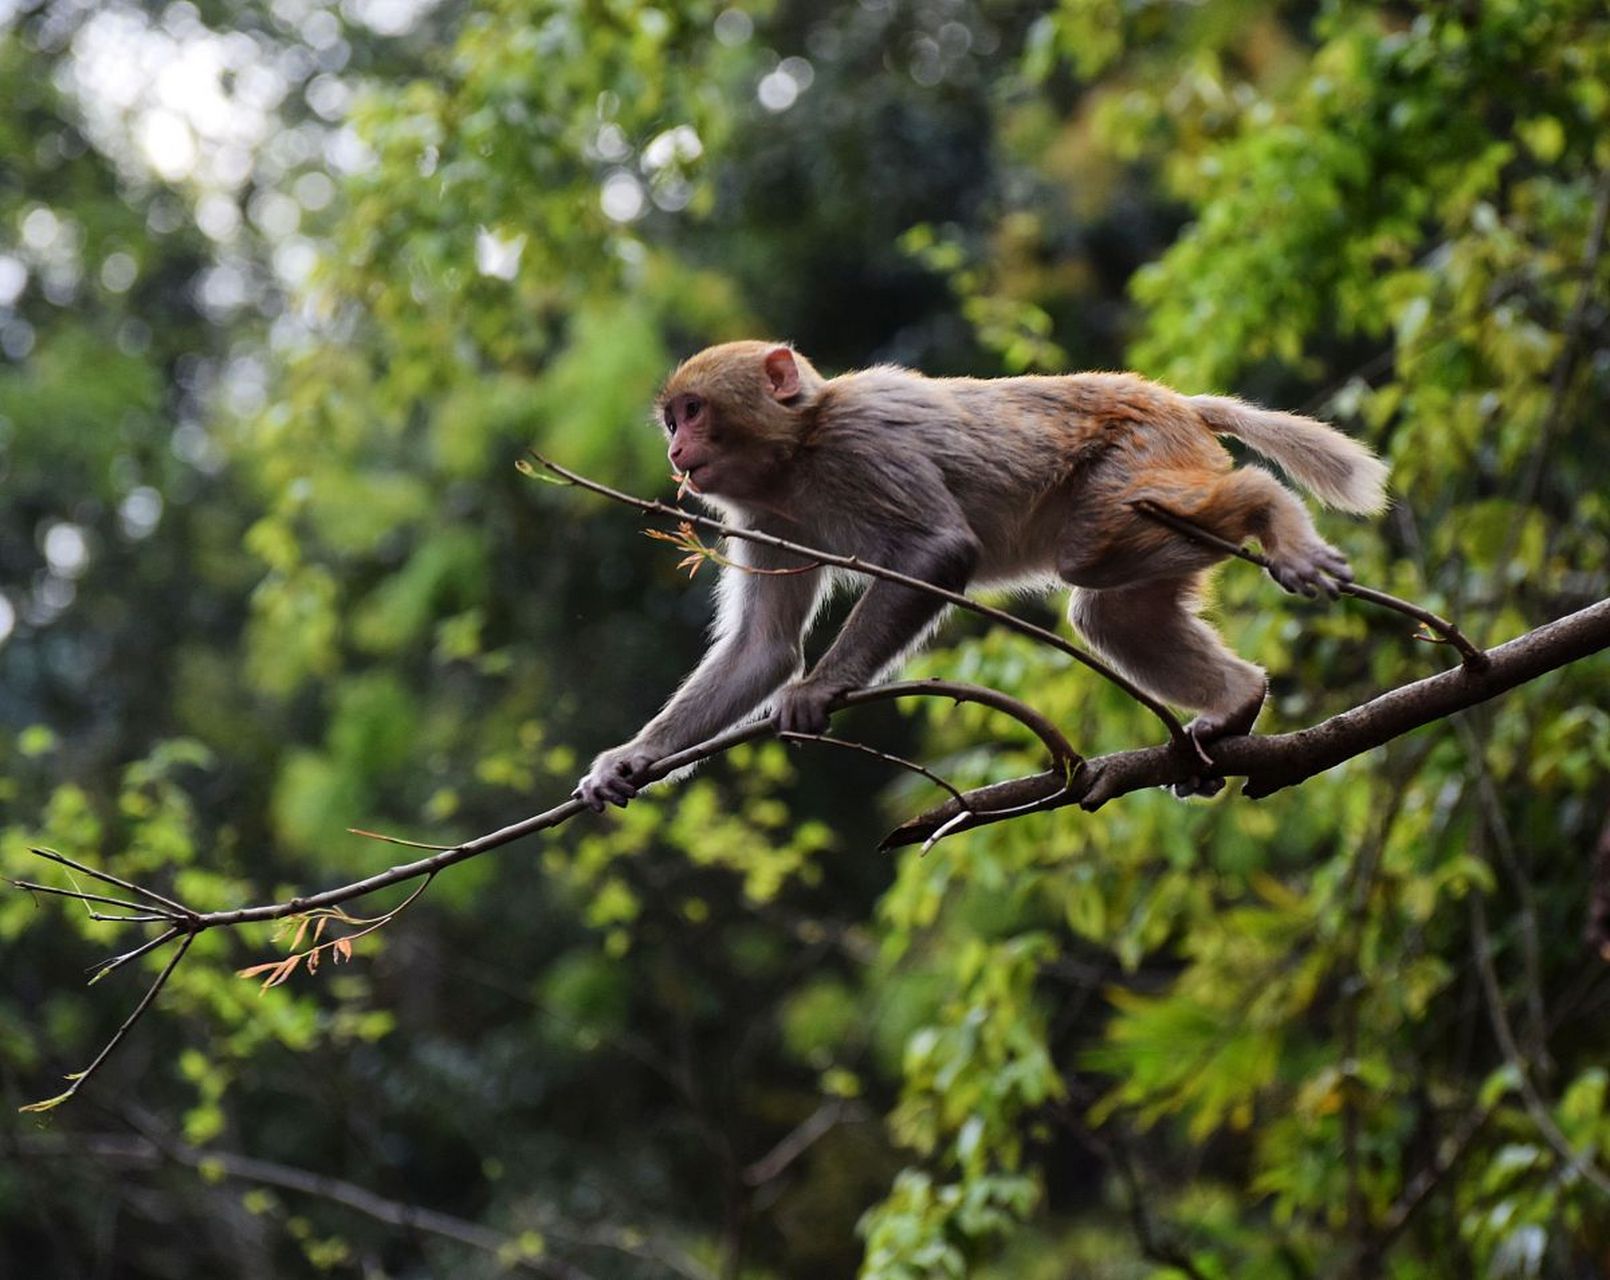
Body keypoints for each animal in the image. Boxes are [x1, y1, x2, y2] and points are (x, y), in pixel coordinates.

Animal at [576, 339, 1384, 811]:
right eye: (673, 419)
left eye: (694, 411)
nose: (676, 448)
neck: (799, 448)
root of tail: (1177, 401)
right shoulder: (764, 514)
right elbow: (763, 650)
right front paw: (632, 758)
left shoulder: (861, 444)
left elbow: (939, 551)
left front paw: (818, 691)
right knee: (1110, 612)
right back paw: (1237, 701)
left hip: (1143, 454)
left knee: (1096, 554)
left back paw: (1270, 510)